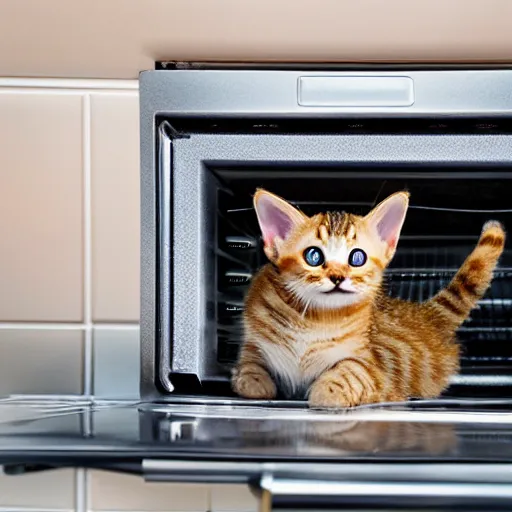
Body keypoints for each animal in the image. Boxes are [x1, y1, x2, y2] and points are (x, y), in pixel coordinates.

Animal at [231, 188, 504, 408]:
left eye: (357, 258)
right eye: (313, 256)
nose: (337, 276)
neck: (313, 320)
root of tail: (424, 314)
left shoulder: (375, 365)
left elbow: (352, 371)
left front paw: (326, 391)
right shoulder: (255, 331)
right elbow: (250, 359)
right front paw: (252, 379)